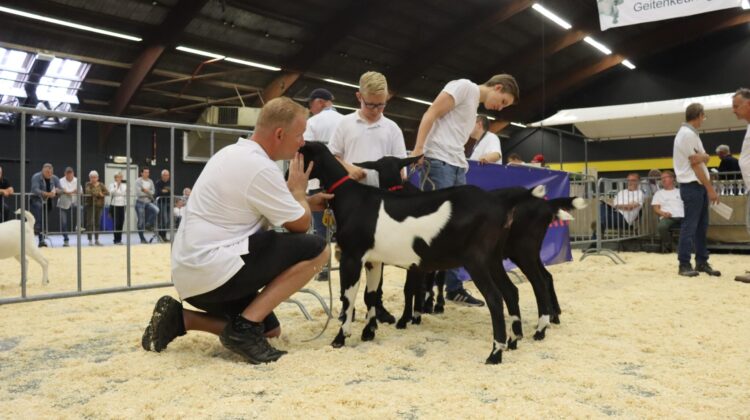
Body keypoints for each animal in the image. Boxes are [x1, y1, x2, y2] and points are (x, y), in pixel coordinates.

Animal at [300, 142, 540, 364]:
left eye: (300, 153)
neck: (352, 198)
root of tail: (499, 203)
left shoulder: (352, 256)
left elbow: (348, 298)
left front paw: (340, 338)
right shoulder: (373, 260)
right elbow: (371, 295)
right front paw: (368, 332)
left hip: (477, 259)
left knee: (494, 298)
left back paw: (495, 353)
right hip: (493, 257)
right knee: (510, 291)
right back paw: (513, 341)